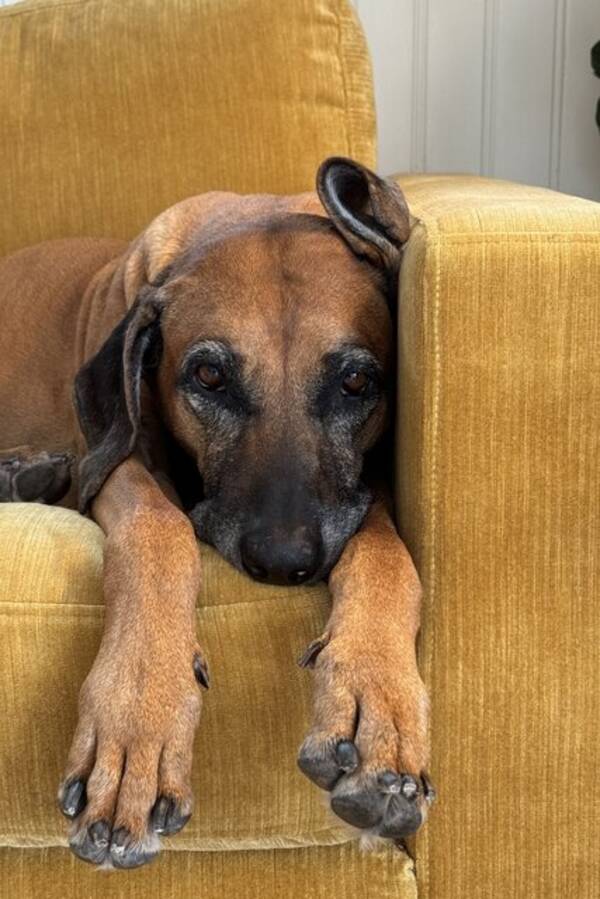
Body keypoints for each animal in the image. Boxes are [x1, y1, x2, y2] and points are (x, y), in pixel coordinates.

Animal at [0, 158, 434, 868]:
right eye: (208, 377)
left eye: (355, 383)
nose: (284, 563)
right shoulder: (117, 462)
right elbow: (159, 528)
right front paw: (138, 725)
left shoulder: (358, 493)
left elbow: (388, 554)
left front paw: (378, 704)